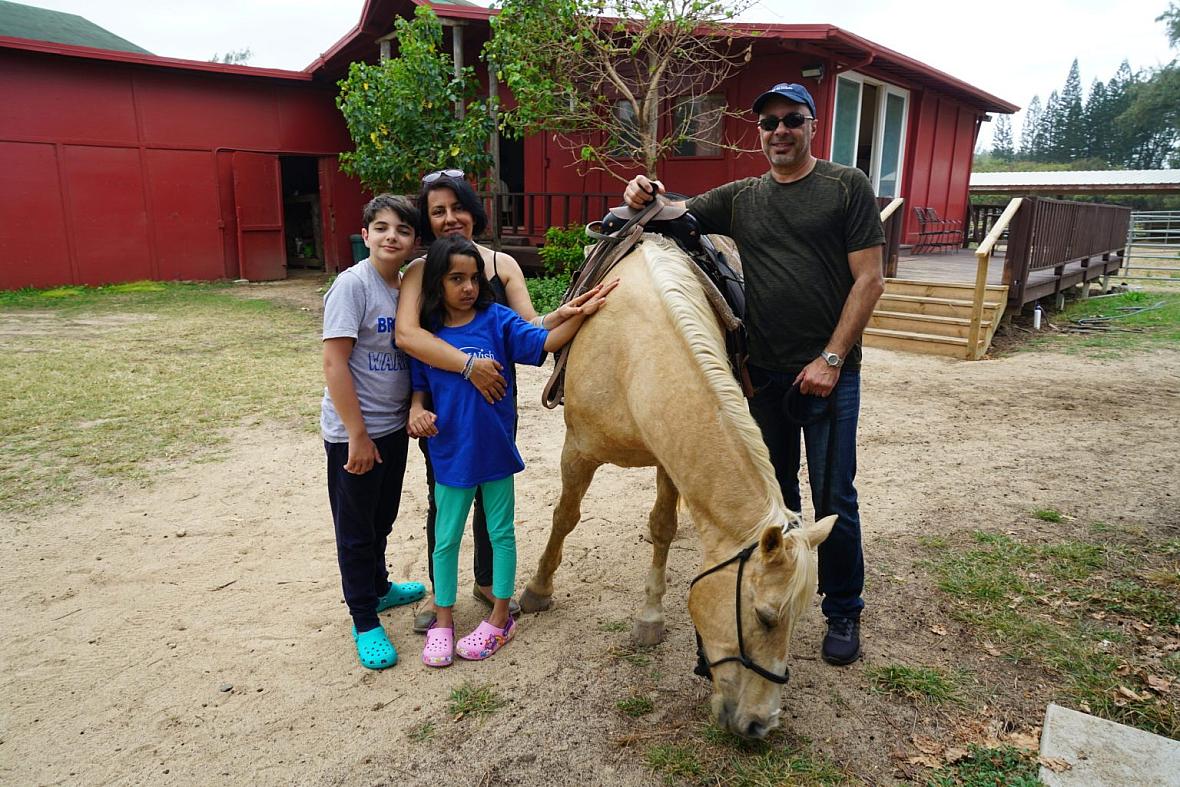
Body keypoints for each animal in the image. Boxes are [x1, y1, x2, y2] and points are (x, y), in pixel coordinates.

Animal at [521, 232, 835, 740]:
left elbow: (663, 527)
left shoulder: (669, 457)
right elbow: (565, 517)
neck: (632, 352)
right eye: (765, 617)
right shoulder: (578, 450)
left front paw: (650, 615)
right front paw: (537, 589)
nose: (761, 725)